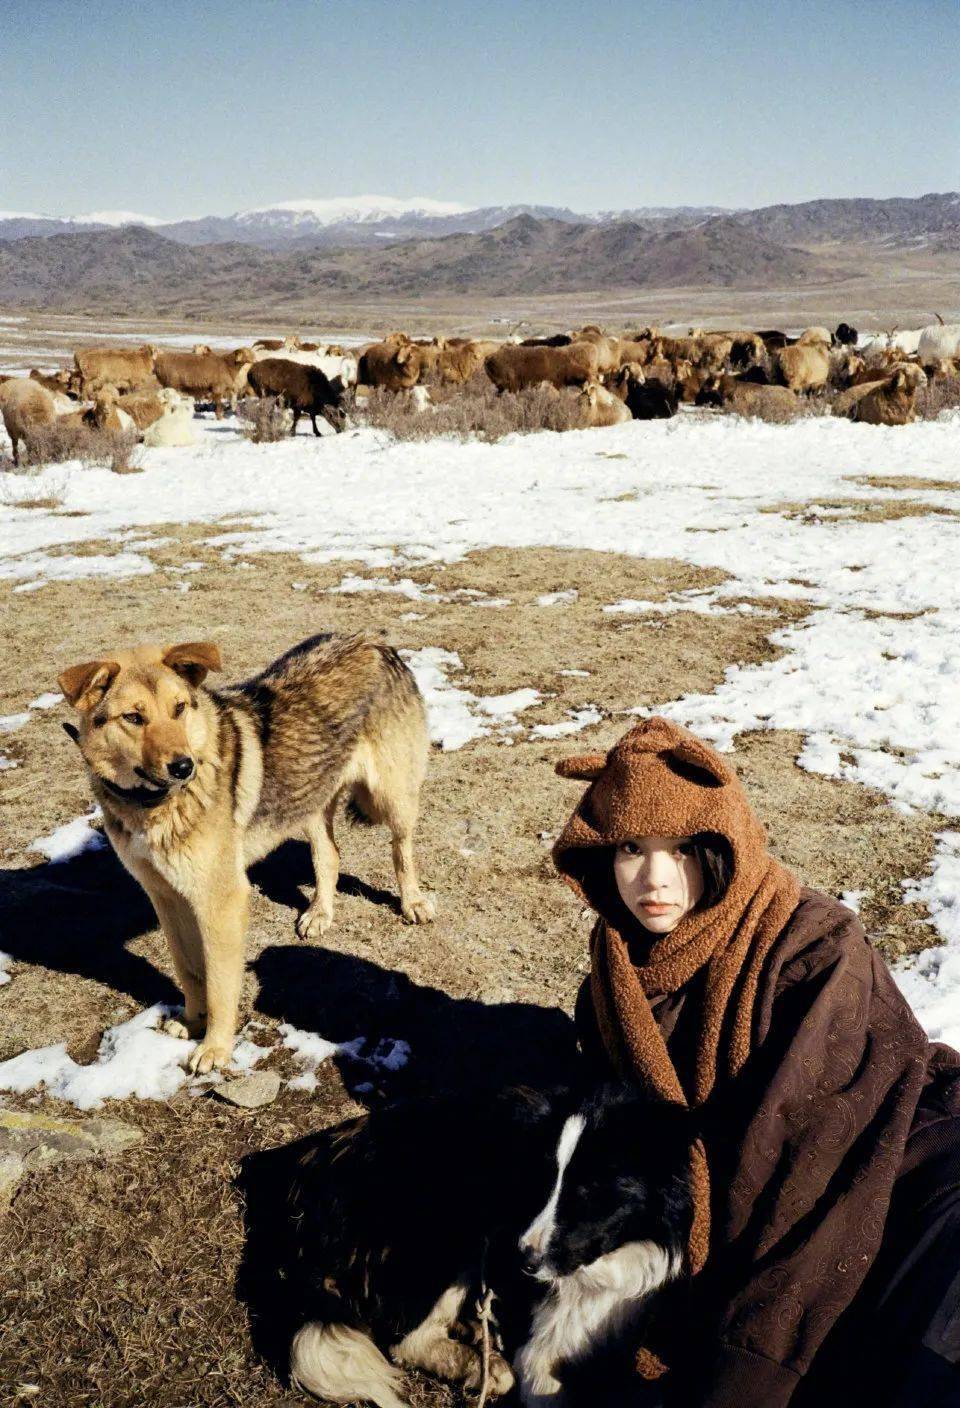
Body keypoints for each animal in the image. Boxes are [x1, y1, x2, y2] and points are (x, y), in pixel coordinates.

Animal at [58, 633, 433, 1070]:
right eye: (133, 718)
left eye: (179, 708)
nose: (183, 767)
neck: (151, 806)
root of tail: (373, 640)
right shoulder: (166, 897)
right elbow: (188, 970)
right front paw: (193, 1020)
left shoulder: (221, 901)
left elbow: (221, 984)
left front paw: (215, 1048)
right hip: (307, 799)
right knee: (329, 854)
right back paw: (320, 913)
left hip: (391, 796)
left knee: (401, 849)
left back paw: (413, 902)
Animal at [282, 1086, 686, 1408]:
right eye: (537, 1183)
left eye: (588, 1193)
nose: (522, 1260)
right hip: (450, 1235)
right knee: (407, 1342)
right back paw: (484, 1368)